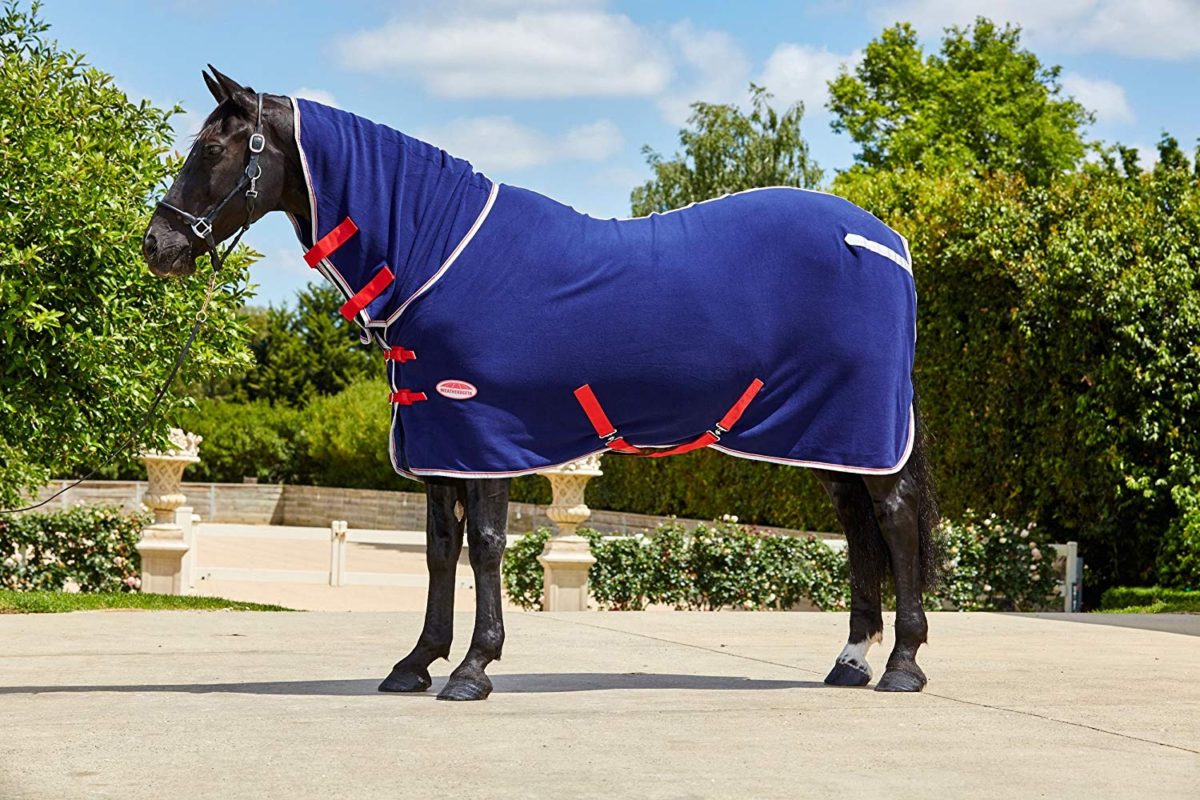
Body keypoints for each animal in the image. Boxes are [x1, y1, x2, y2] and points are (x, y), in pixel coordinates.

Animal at [143, 68, 940, 701]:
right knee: (858, 530)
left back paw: (902, 664)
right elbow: (440, 549)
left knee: (895, 519)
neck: (436, 252)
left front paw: (473, 668)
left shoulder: (482, 432)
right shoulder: (438, 440)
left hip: (861, 429)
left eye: (210, 148)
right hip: (829, 439)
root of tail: (888, 241)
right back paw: (850, 661)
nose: (158, 246)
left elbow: (488, 545)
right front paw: (416, 663)